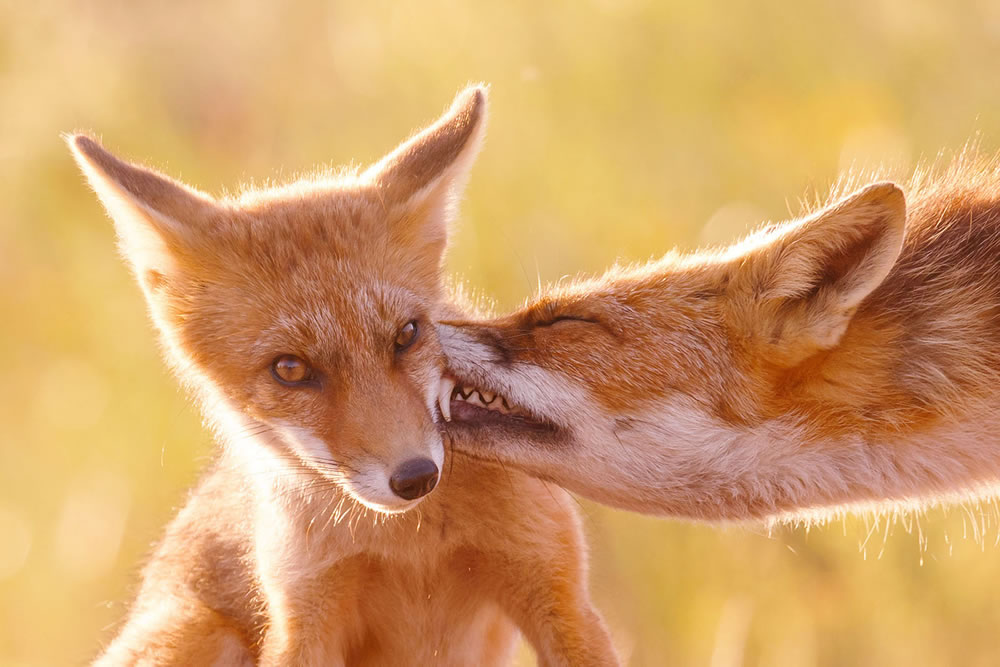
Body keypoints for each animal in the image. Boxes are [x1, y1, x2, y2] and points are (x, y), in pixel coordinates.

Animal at [68, 86, 616, 664]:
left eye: (406, 334)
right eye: (290, 369)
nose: (416, 477)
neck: (411, 544)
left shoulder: (558, 591)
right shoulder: (305, 615)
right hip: (193, 631)